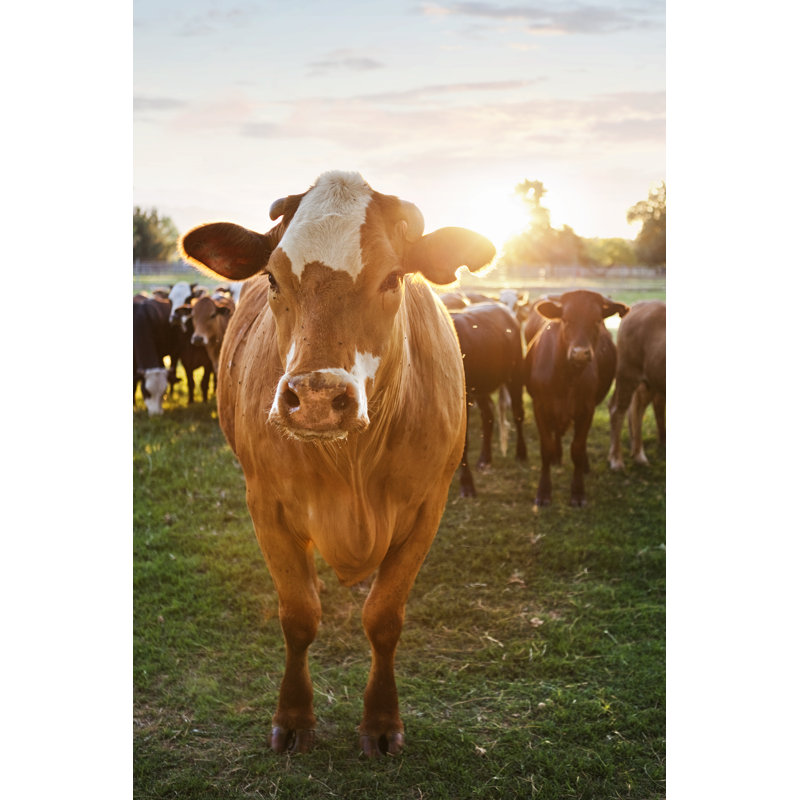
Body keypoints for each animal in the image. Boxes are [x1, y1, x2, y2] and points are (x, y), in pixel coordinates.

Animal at [179, 170, 495, 758]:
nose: (318, 397)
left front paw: (381, 721)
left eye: (393, 278)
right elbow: (299, 616)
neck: (352, 461)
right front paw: (293, 716)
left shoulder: (428, 508)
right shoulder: (266, 507)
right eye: (273, 278)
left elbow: (384, 618)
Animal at [450, 301, 527, 497]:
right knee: (489, 416)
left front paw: (467, 484)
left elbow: (464, 443)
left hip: (515, 375)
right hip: (481, 389)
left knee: (518, 413)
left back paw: (521, 453)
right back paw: (485, 459)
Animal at [525, 290, 629, 507]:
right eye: (566, 319)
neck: (567, 377)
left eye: (597, 320)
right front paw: (543, 491)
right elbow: (546, 447)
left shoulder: (586, 409)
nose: (580, 353)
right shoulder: (540, 405)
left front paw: (578, 492)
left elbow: (578, 448)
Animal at [608, 300, 666, 470]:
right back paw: (616, 460)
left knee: (638, 409)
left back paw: (639, 456)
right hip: (627, 374)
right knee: (617, 410)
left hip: (650, 380)